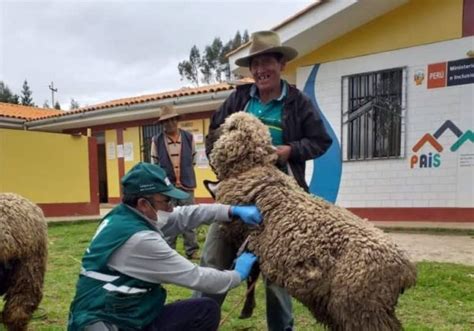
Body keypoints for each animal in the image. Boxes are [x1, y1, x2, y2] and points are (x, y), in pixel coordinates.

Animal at [209, 113, 416, 330]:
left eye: (231, 126)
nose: (208, 134)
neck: (252, 169)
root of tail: (406, 270)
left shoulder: (243, 236)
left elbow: (250, 274)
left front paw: (246, 308)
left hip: (361, 305)